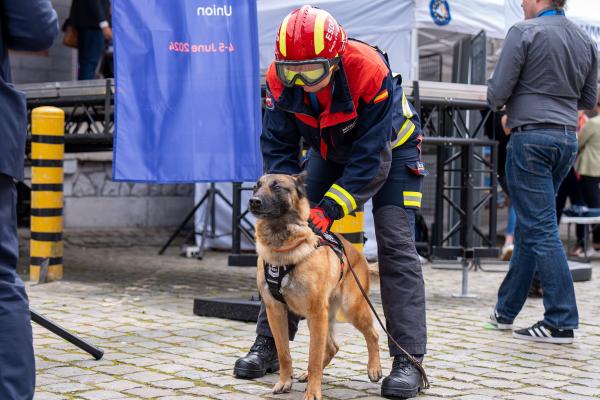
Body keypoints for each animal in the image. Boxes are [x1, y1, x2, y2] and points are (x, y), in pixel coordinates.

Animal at [250, 173, 382, 400]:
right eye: (256, 187)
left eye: (277, 187)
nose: (253, 201)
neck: (282, 247)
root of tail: (361, 258)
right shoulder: (275, 311)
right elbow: (284, 353)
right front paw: (284, 382)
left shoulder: (316, 312)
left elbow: (313, 358)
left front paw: (313, 392)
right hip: (326, 317)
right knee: (332, 347)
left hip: (351, 309)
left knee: (372, 335)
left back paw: (374, 369)